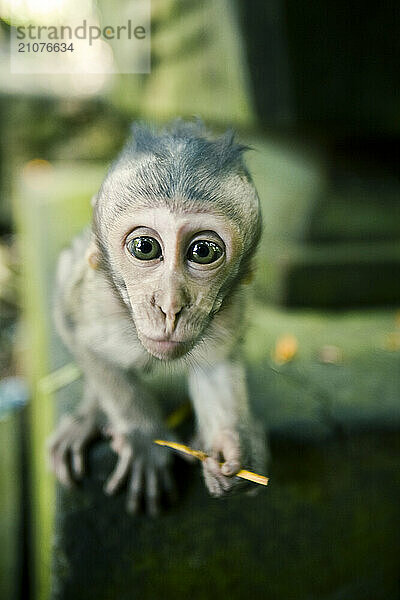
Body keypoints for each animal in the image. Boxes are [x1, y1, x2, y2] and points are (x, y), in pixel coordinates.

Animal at [49, 118, 266, 516]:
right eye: (145, 247)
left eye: (203, 251)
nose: (170, 306)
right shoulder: (92, 297)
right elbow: (75, 331)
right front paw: (144, 438)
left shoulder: (232, 307)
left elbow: (217, 363)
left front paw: (232, 446)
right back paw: (90, 416)